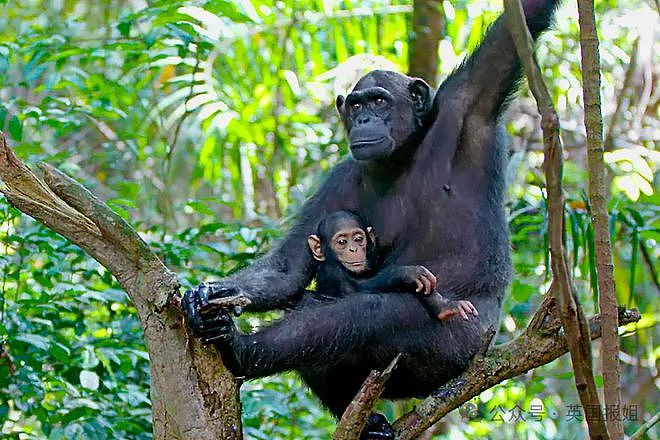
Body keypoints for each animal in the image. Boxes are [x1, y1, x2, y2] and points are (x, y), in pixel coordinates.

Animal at [306, 210, 476, 320]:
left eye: (358, 239)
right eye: (342, 242)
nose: (353, 249)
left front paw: (446, 304)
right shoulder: (333, 272)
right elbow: (356, 291)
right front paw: (408, 273)